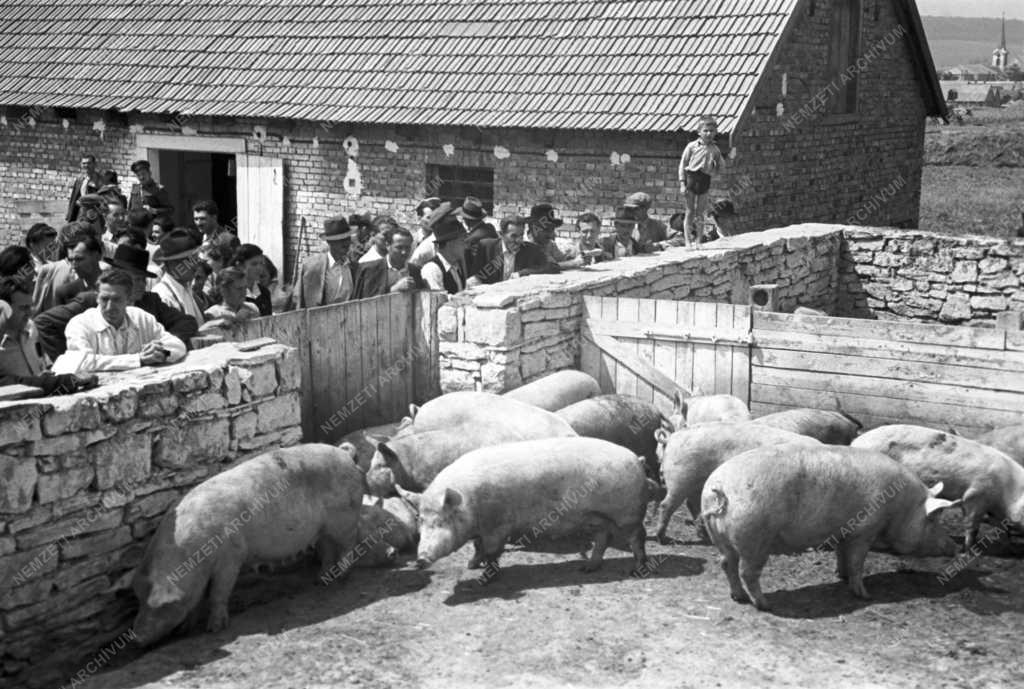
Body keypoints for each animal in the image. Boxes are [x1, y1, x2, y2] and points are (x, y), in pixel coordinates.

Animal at [131, 444, 364, 642]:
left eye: (160, 606)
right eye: (139, 599)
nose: (135, 637)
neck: (195, 557)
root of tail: (345, 454)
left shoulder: (231, 558)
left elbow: (219, 592)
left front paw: (214, 629)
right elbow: (196, 600)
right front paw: (186, 630)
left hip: (345, 519)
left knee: (348, 545)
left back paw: (342, 576)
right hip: (323, 528)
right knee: (327, 548)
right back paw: (321, 580)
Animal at [411, 438, 651, 577]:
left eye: (442, 521)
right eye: (420, 520)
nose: (420, 559)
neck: (470, 503)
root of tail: (636, 459)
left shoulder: (496, 527)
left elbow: (491, 552)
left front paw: (486, 576)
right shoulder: (482, 530)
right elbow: (478, 548)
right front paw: (470, 565)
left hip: (628, 513)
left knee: (638, 537)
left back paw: (637, 569)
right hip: (596, 517)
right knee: (604, 538)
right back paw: (586, 569)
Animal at [659, 419, 819, 544]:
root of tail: (672, 438)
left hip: (696, 483)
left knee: (693, 505)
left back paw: (703, 535)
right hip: (680, 479)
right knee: (667, 505)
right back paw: (662, 538)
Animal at [704, 440, 958, 606]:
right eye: (934, 519)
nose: (956, 547)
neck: (901, 508)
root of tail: (720, 487)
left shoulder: (843, 531)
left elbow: (841, 554)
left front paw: (840, 576)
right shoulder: (865, 530)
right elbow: (857, 562)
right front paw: (865, 595)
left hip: (720, 536)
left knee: (726, 563)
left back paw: (739, 598)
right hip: (755, 539)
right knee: (747, 572)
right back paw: (764, 604)